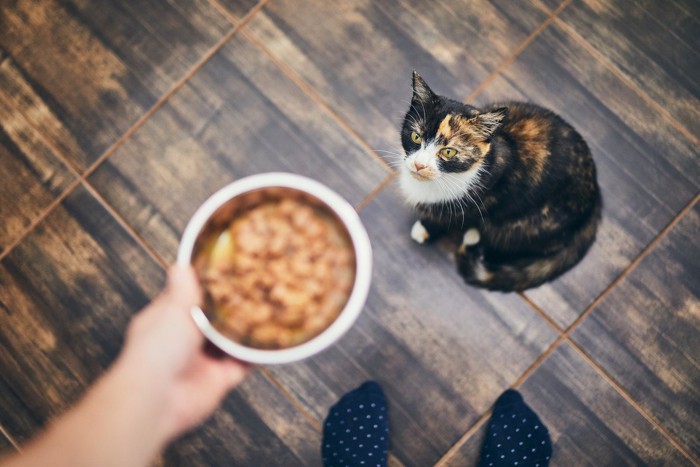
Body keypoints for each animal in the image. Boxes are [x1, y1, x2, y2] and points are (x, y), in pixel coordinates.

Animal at [400, 72, 600, 292]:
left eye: (448, 152)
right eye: (416, 136)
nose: (419, 165)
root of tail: (596, 195)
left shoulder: (479, 201)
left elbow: (450, 219)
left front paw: (426, 229)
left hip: (532, 223)